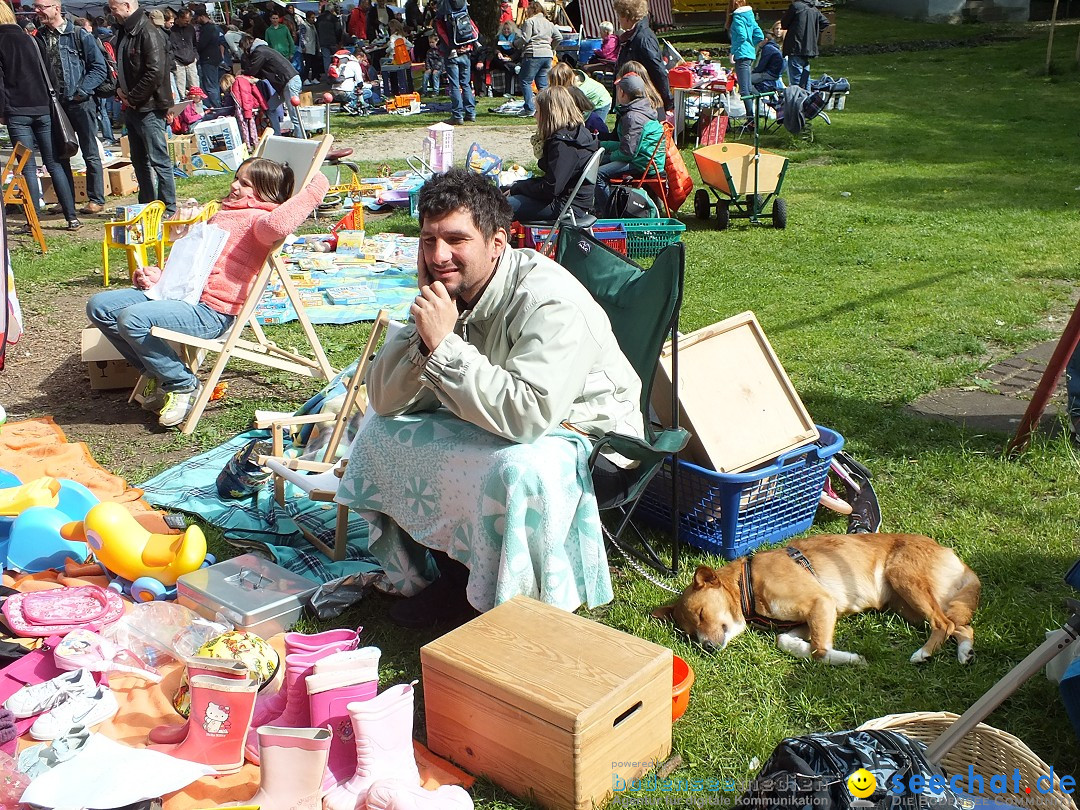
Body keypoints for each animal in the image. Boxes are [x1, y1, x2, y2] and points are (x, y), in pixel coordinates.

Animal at [652, 533, 984, 665]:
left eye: (701, 615)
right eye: (688, 634)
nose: (706, 648)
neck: (746, 583)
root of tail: (955, 558)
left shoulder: (820, 603)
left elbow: (820, 651)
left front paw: (850, 659)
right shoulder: (810, 615)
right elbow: (785, 640)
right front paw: (800, 647)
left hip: (904, 580)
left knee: (944, 624)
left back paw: (924, 653)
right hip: (909, 607)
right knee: (962, 627)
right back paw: (964, 653)